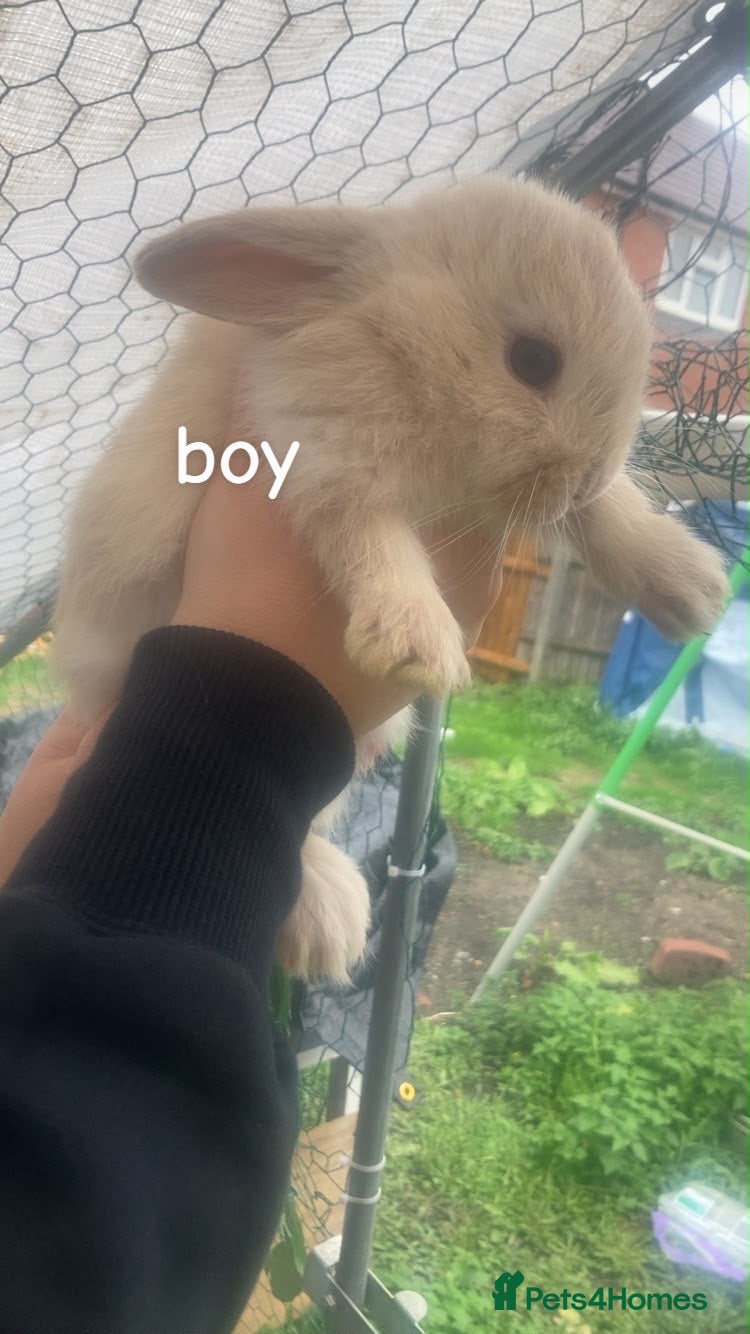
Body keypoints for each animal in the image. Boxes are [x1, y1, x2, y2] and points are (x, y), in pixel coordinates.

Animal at [53, 174, 729, 982]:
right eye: (533, 360)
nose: (586, 471)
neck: (401, 349)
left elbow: (607, 514)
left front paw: (692, 588)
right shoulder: (318, 456)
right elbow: (373, 545)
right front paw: (416, 646)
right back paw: (328, 922)